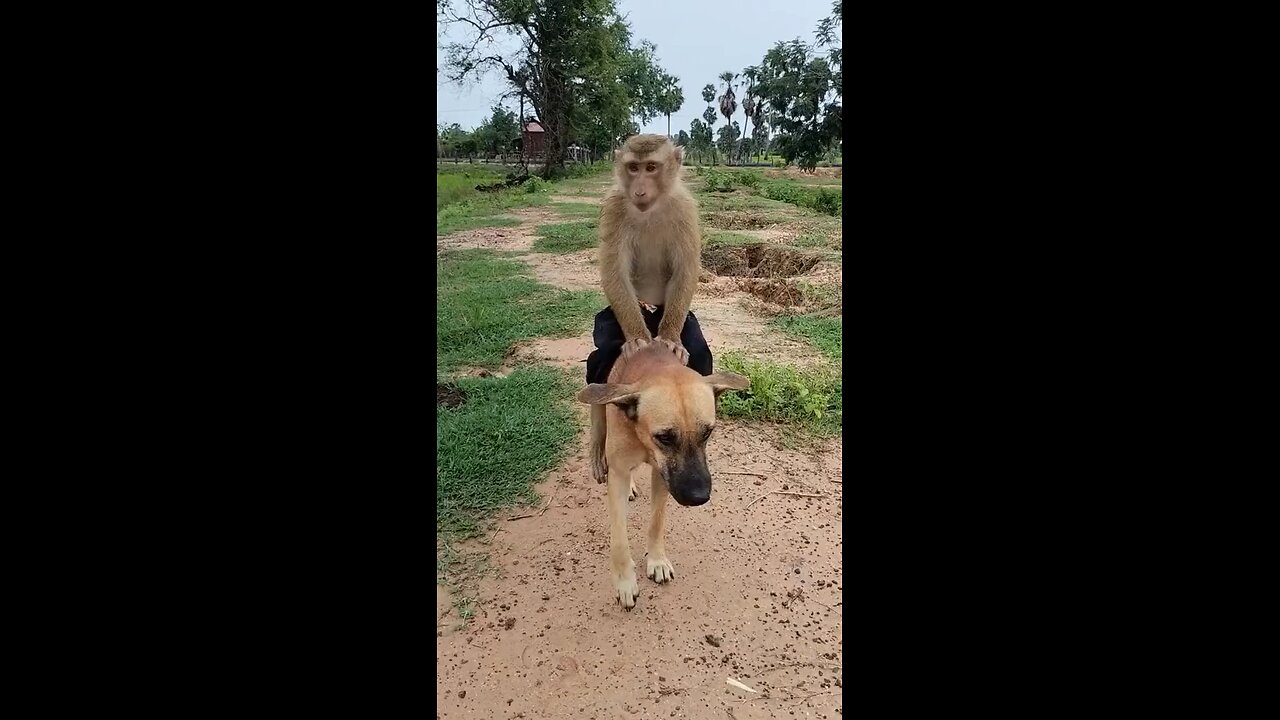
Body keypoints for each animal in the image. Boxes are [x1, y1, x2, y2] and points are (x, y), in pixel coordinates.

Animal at [576, 340, 747, 604]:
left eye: (707, 432)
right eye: (665, 437)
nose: (699, 497)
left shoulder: (663, 476)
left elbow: (656, 521)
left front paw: (657, 561)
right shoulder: (619, 472)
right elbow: (619, 538)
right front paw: (625, 582)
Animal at [586, 133, 716, 491]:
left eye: (651, 168)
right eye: (633, 168)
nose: (639, 190)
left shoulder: (684, 207)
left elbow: (686, 269)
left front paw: (669, 339)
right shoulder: (615, 205)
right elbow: (614, 270)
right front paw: (638, 340)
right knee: (601, 359)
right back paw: (599, 444)